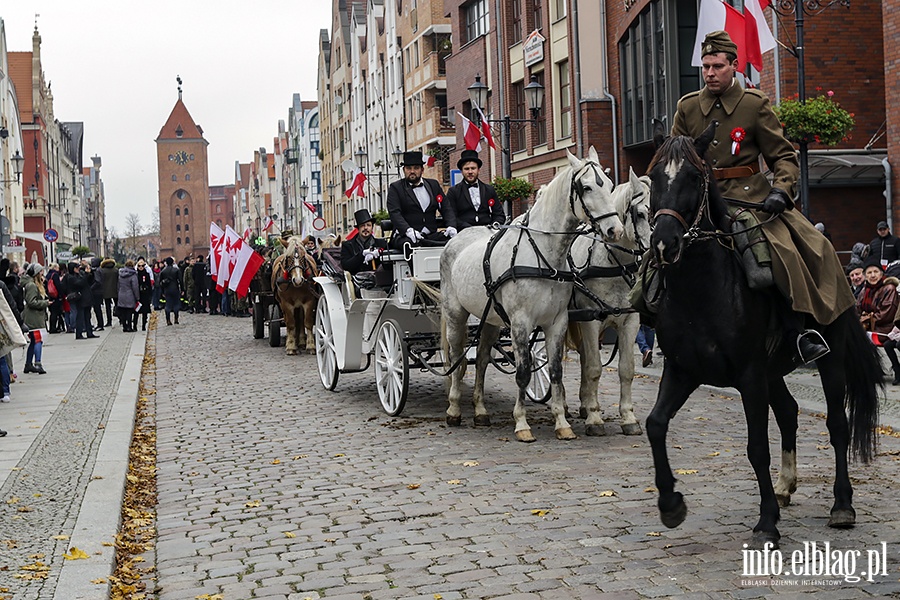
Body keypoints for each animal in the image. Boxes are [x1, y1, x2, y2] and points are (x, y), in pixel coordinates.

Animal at [440, 148, 624, 442]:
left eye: (608, 184)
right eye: (585, 187)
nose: (614, 231)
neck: (544, 254)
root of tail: (455, 239)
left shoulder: (557, 321)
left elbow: (555, 371)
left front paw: (562, 422)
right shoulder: (520, 322)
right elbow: (523, 372)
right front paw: (522, 424)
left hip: (490, 319)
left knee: (481, 361)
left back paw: (480, 411)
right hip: (456, 314)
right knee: (458, 359)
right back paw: (454, 409)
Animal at [568, 168, 648, 436]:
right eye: (641, 213)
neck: (614, 264)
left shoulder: (630, 321)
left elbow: (626, 369)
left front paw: (628, 417)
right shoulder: (590, 320)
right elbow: (595, 368)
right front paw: (595, 419)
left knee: (583, 357)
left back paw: (584, 404)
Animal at [644, 120, 884, 548]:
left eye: (693, 177)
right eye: (653, 176)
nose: (663, 243)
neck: (701, 290)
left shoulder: (749, 375)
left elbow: (757, 448)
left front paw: (766, 522)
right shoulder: (682, 370)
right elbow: (655, 424)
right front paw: (671, 504)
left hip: (830, 359)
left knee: (837, 425)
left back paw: (842, 505)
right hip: (775, 370)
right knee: (788, 412)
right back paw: (786, 486)